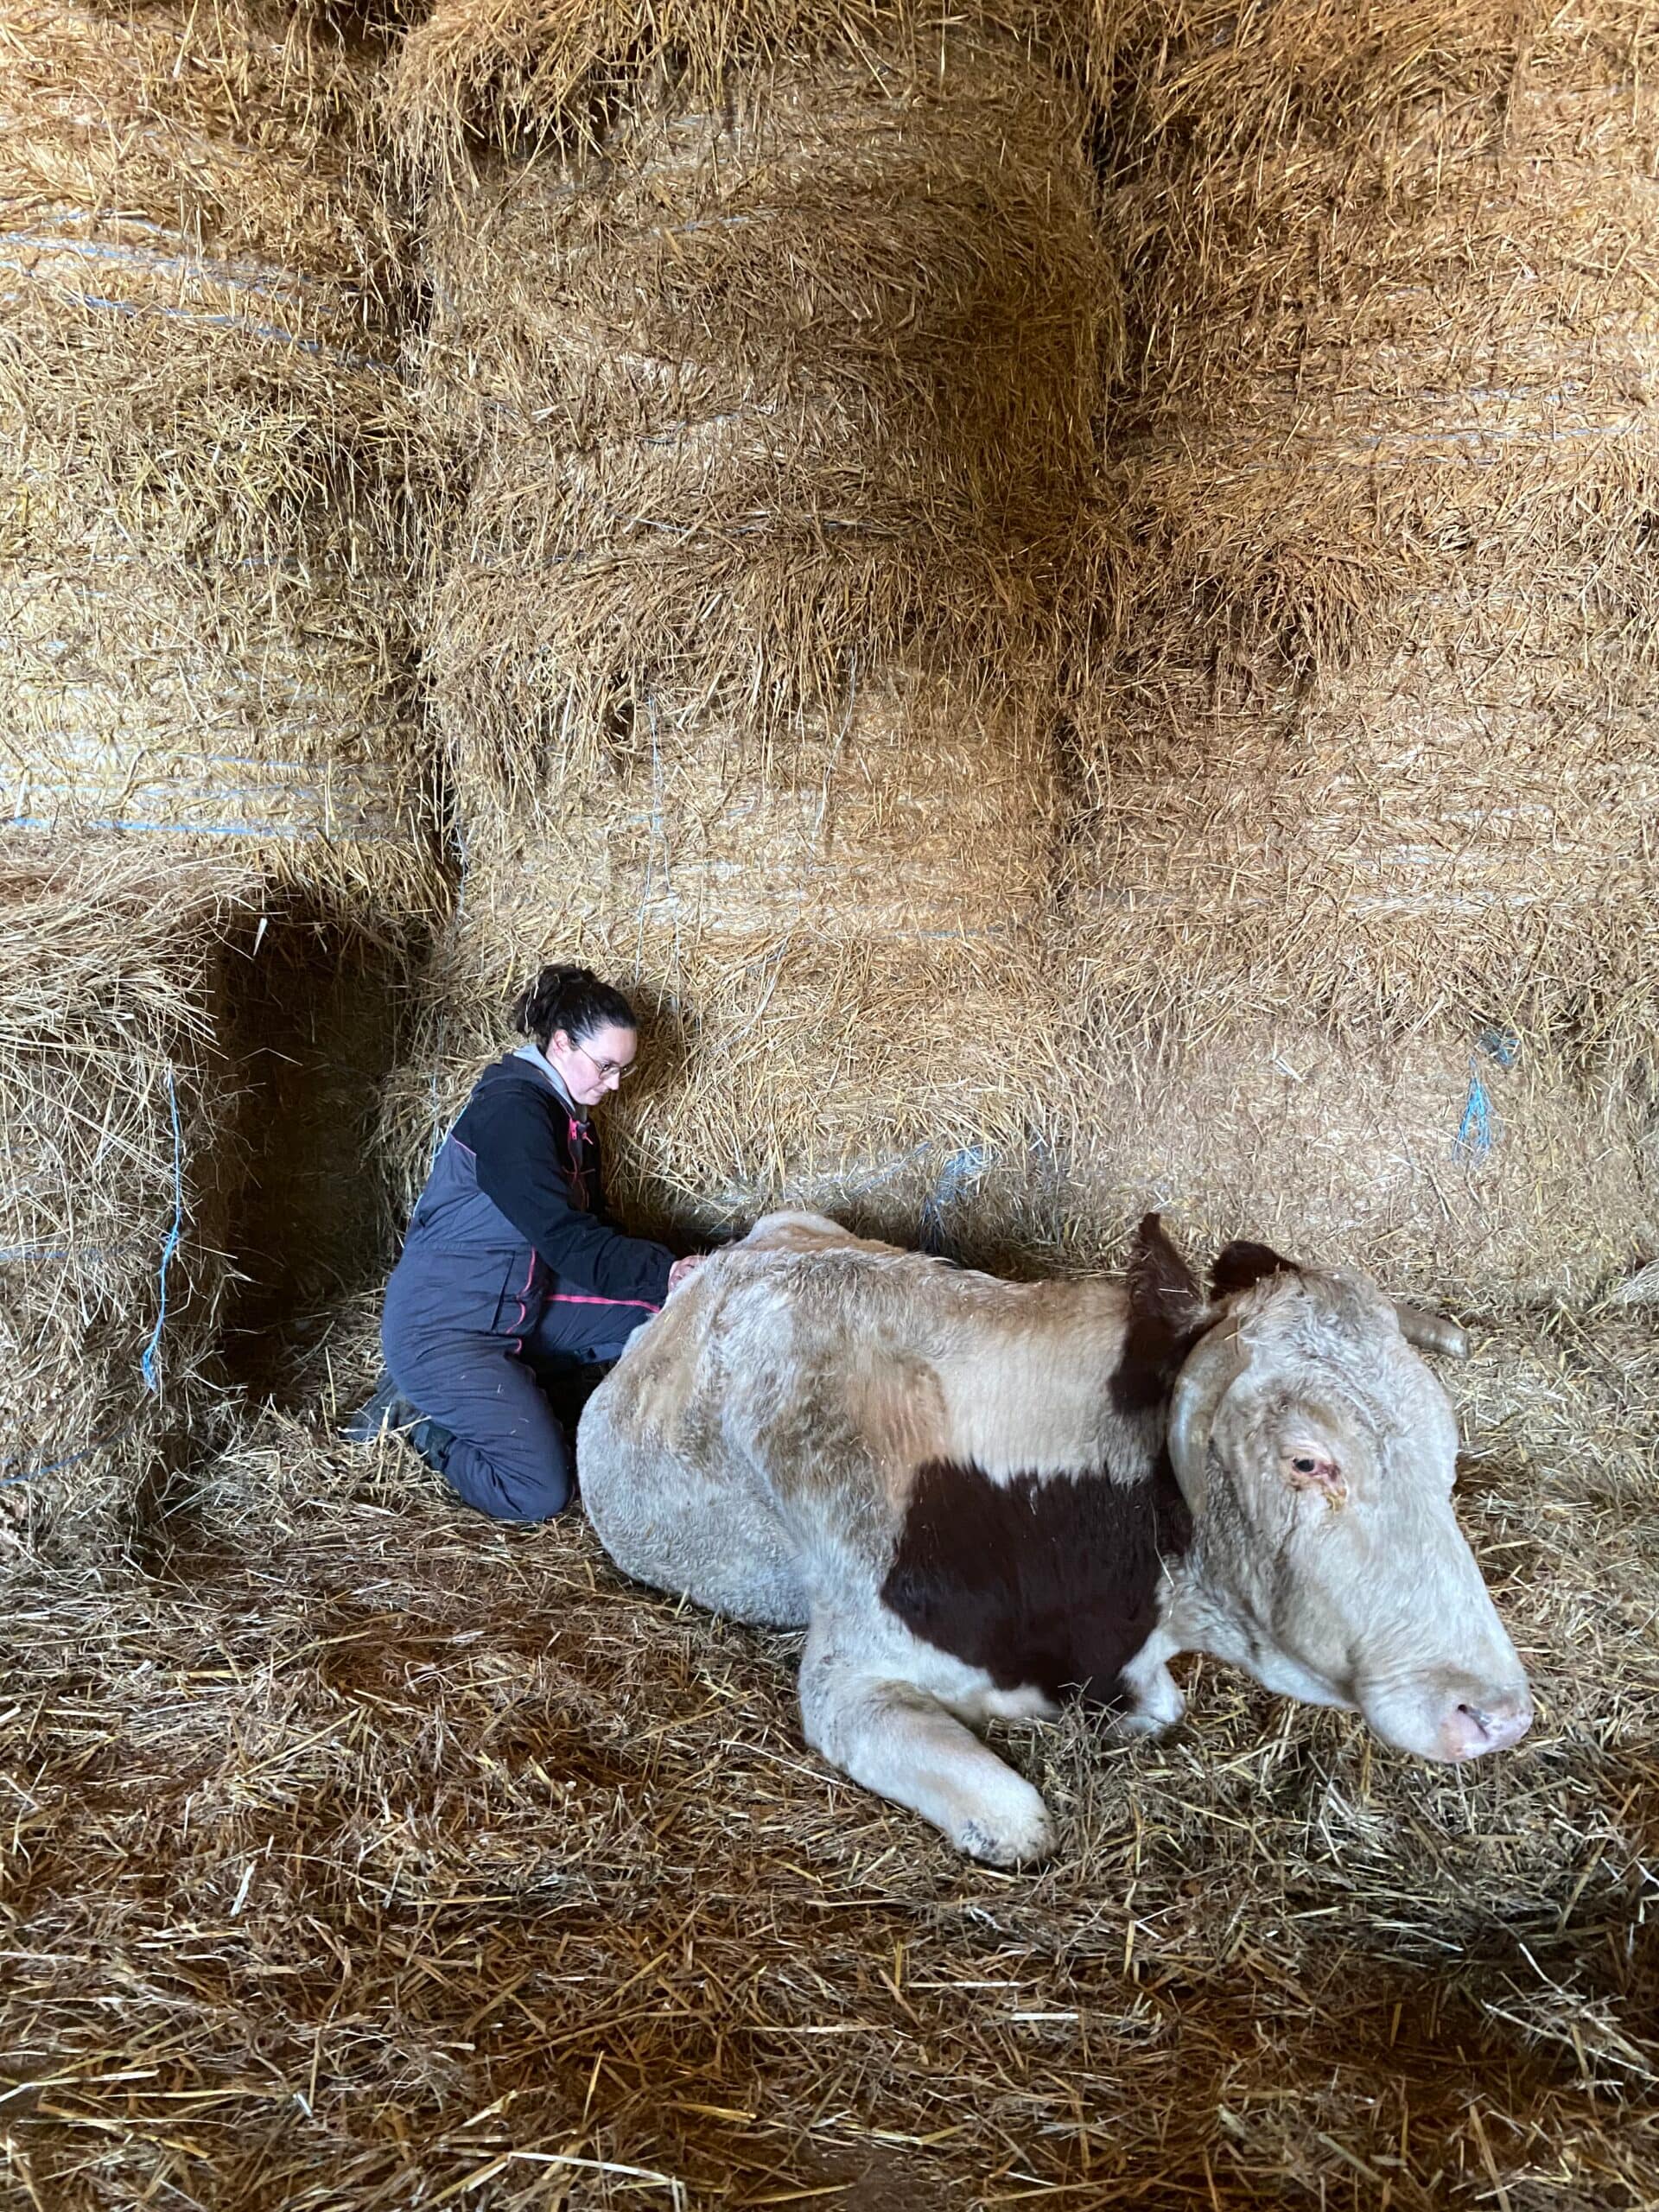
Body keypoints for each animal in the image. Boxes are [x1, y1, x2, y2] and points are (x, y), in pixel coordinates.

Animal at [577, 1211, 1532, 1864]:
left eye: (1449, 1452)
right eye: (1307, 1460)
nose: (1496, 1713)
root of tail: (729, 1253)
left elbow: (1156, 1710)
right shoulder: (848, 1678)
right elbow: (1020, 1822)